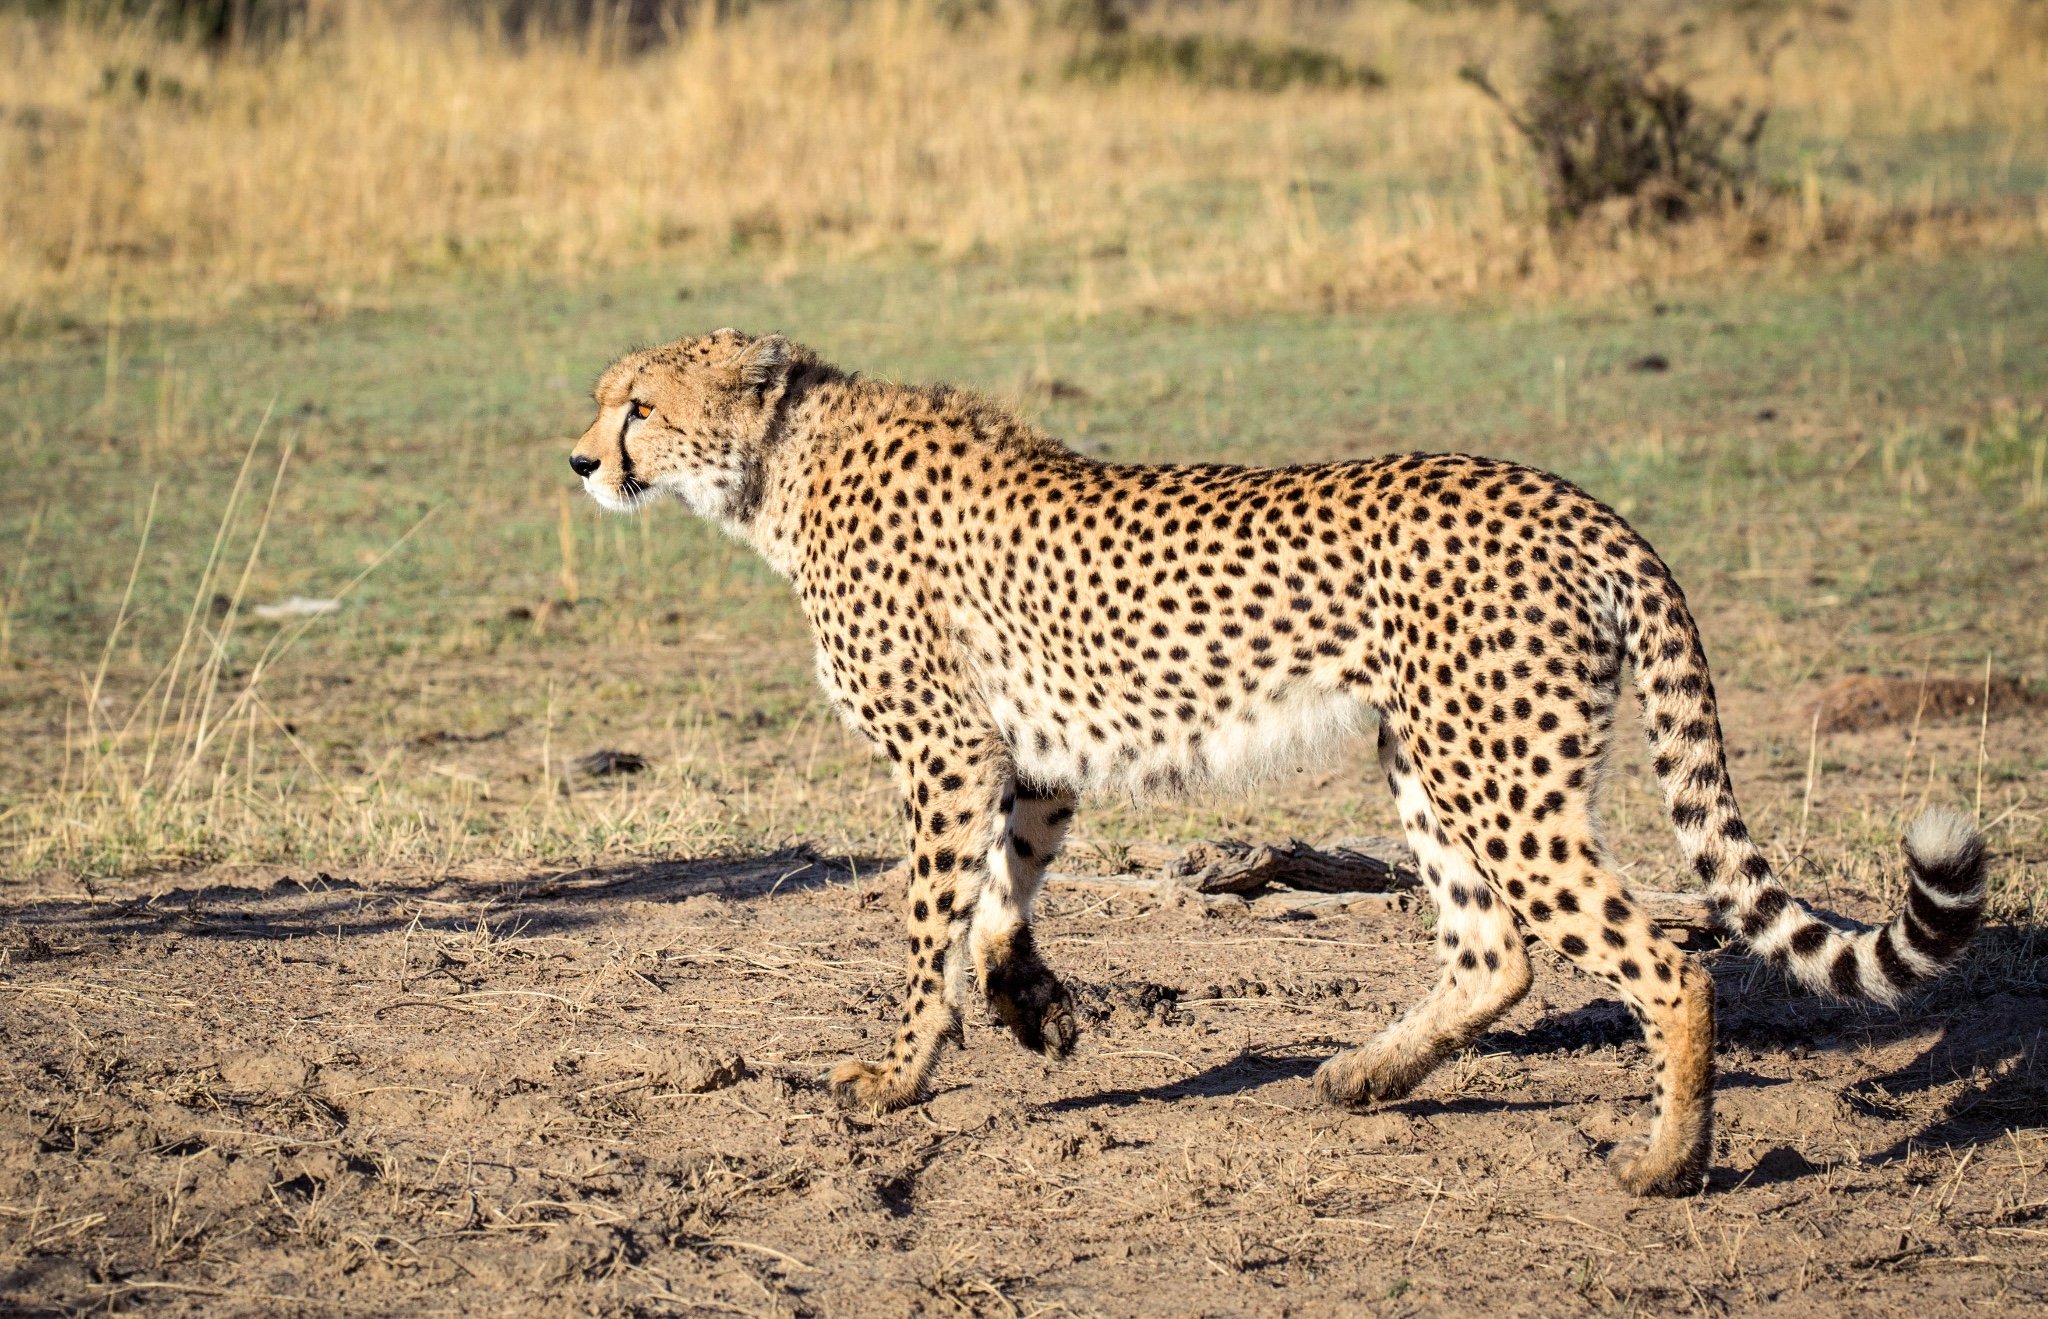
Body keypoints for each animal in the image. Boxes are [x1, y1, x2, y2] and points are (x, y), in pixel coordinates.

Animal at [565, 329, 1982, 1196]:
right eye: (601, 397)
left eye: (638, 404)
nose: (580, 459)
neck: (780, 469)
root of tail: (1571, 496)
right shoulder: (1024, 756)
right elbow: (997, 902)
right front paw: (1034, 1007)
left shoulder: (943, 753)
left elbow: (923, 928)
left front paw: (898, 1076)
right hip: (1428, 756)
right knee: (1495, 949)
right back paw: (1363, 1073)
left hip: (1495, 774)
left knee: (1665, 959)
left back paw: (1665, 1162)